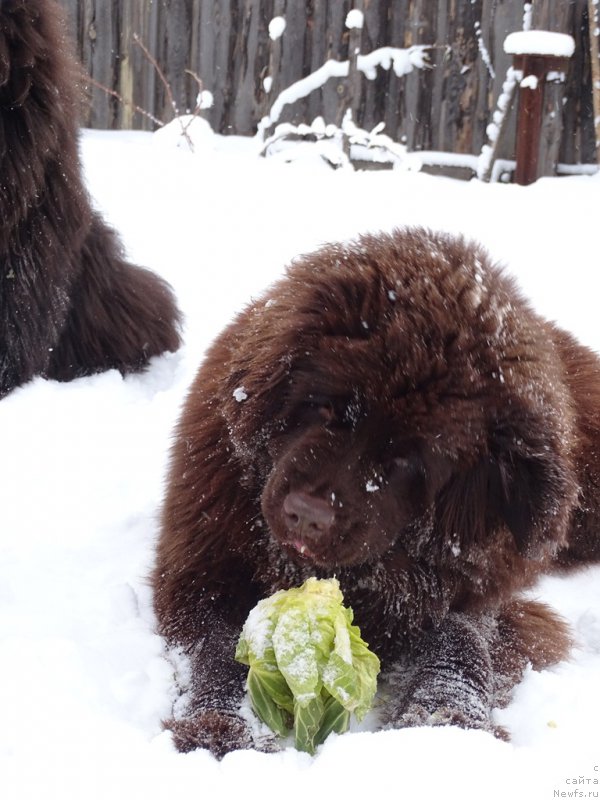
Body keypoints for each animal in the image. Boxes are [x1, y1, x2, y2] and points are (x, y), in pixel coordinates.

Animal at [151, 223, 600, 756]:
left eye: (408, 459)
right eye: (325, 408)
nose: (307, 514)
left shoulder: (474, 586)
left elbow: (461, 640)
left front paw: (444, 722)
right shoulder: (200, 571)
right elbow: (217, 648)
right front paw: (220, 728)